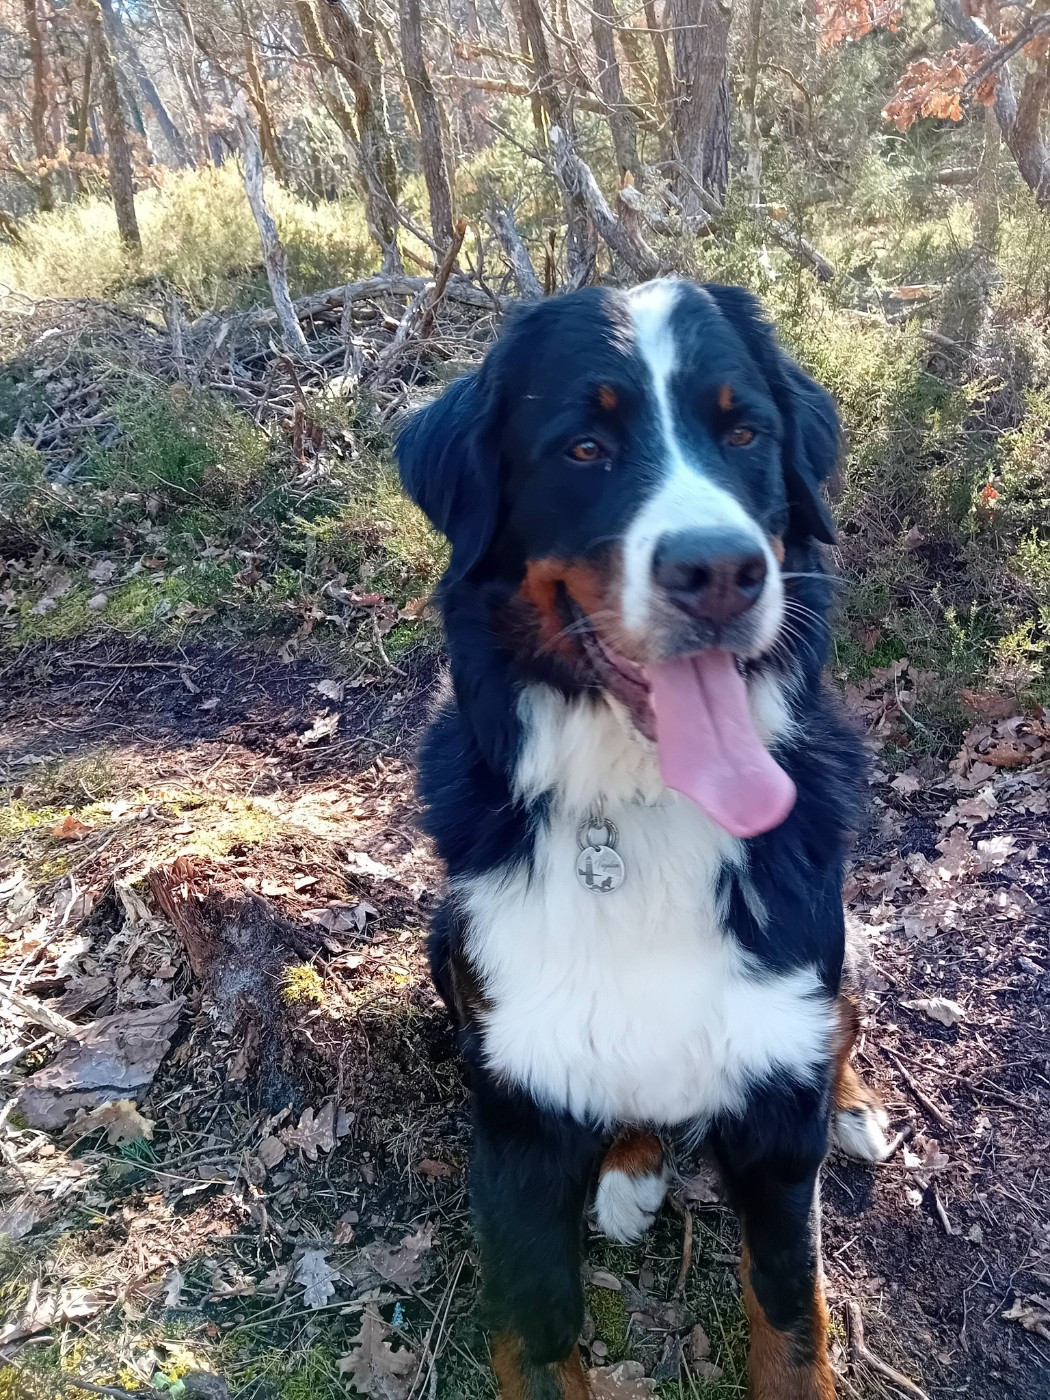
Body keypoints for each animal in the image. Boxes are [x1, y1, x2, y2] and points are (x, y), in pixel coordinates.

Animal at [396, 278, 890, 1399]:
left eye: (744, 432)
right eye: (585, 448)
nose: (721, 570)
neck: (646, 805)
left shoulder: (775, 1121)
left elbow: (791, 1316)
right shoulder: (519, 1125)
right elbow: (538, 1340)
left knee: (842, 1021)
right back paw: (629, 1163)